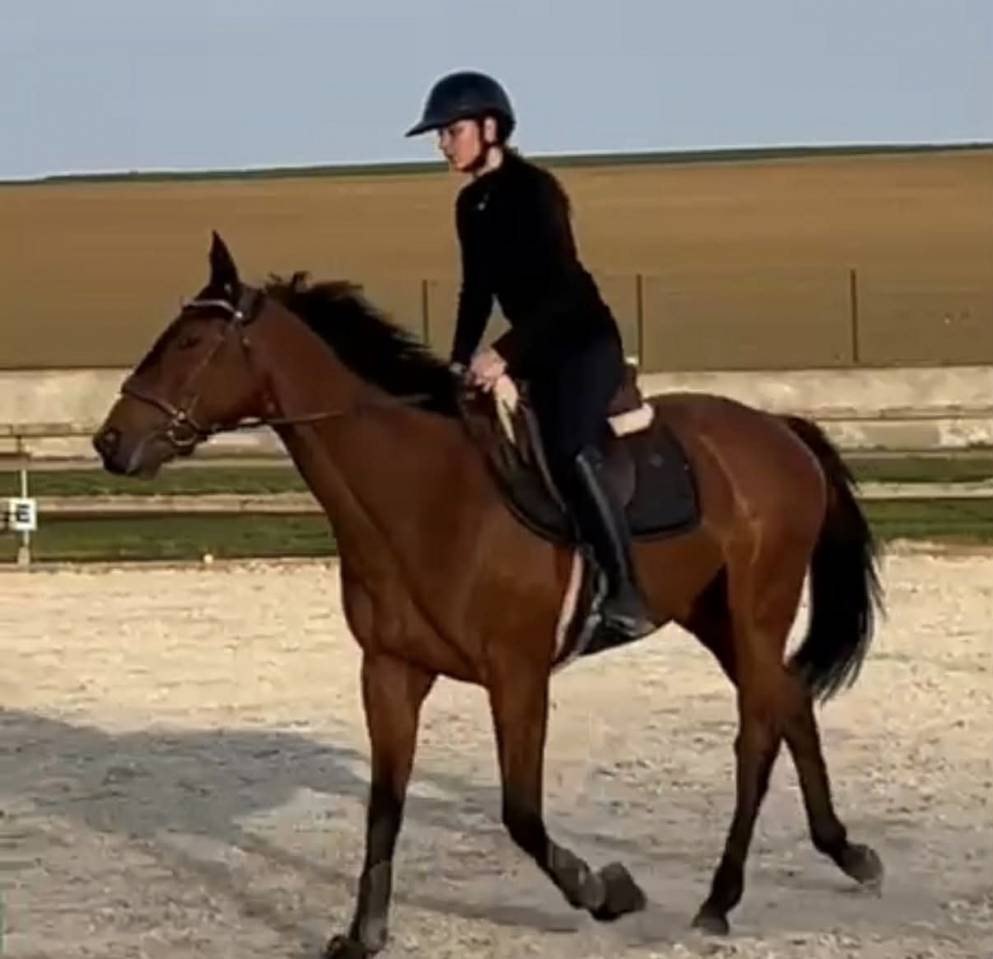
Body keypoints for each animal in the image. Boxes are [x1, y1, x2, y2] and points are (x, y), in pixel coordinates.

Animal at [93, 233, 884, 958]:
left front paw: (606, 890)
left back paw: (720, 898)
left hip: (756, 608)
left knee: (757, 729)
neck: (423, 495)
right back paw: (845, 852)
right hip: (711, 614)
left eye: (189, 341)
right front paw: (364, 933)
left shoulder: (517, 675)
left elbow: (521, 813)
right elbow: (385, 804)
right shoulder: (391, 670)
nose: (110, 442)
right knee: (789, 701)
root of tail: (778, 428)